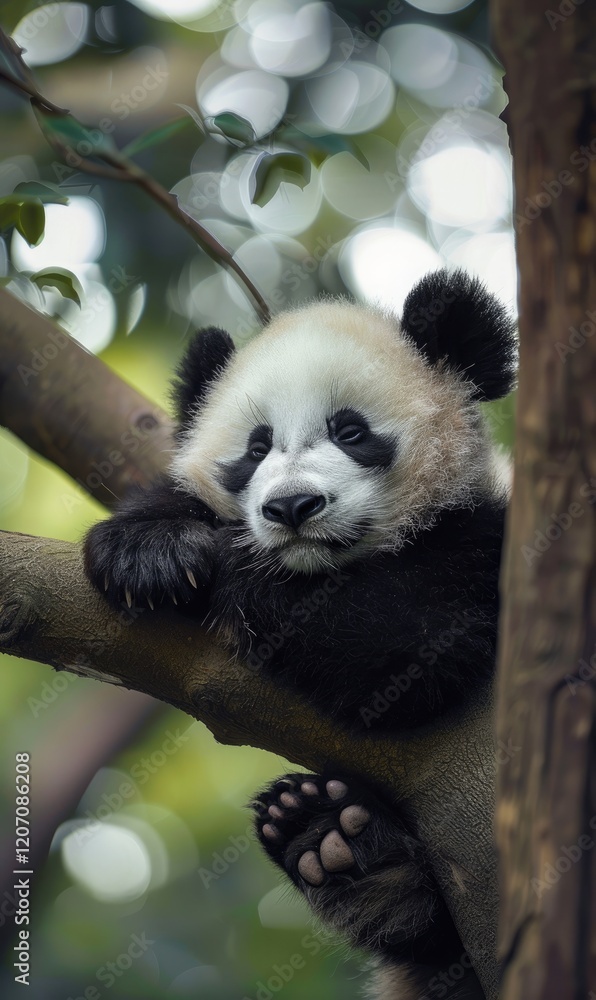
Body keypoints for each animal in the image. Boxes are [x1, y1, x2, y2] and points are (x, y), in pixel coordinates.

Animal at [84, 269, 516, 1000]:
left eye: (350, 430)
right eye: (256, 447)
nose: (290, 508)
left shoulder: (486, 549)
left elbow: (404, 644)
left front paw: (233, 568)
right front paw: (149, 550)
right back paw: (338, 851)